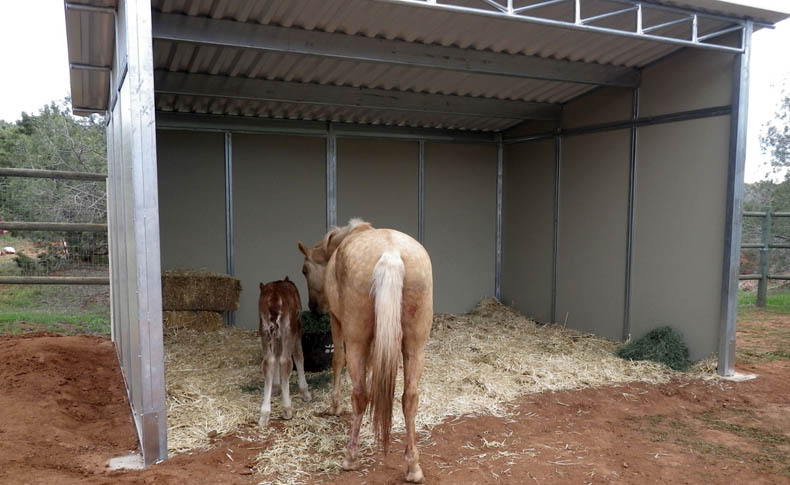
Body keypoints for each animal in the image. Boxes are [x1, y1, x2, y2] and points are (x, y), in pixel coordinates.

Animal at [258, 278, 310, 426]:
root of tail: (275, 297)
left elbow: (275, 357)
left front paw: (275, 387)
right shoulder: (297, 329)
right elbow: (299, 356)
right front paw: (305, 391)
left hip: (264, 330)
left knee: (268, 361)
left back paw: (264, 413)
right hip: (289, 329)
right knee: (286, 361)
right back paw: (287, 408)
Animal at [298, 220, 434, 484]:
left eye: (305, 270)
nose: (314, 307)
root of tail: (391, 255)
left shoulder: (336, 321)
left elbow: (338, 361)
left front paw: (334, 406)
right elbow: (374, 369)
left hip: (356, 340)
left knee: (360, 394)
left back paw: (351, 457)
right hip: (415, 345)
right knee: (410, 398)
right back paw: (413, 466)